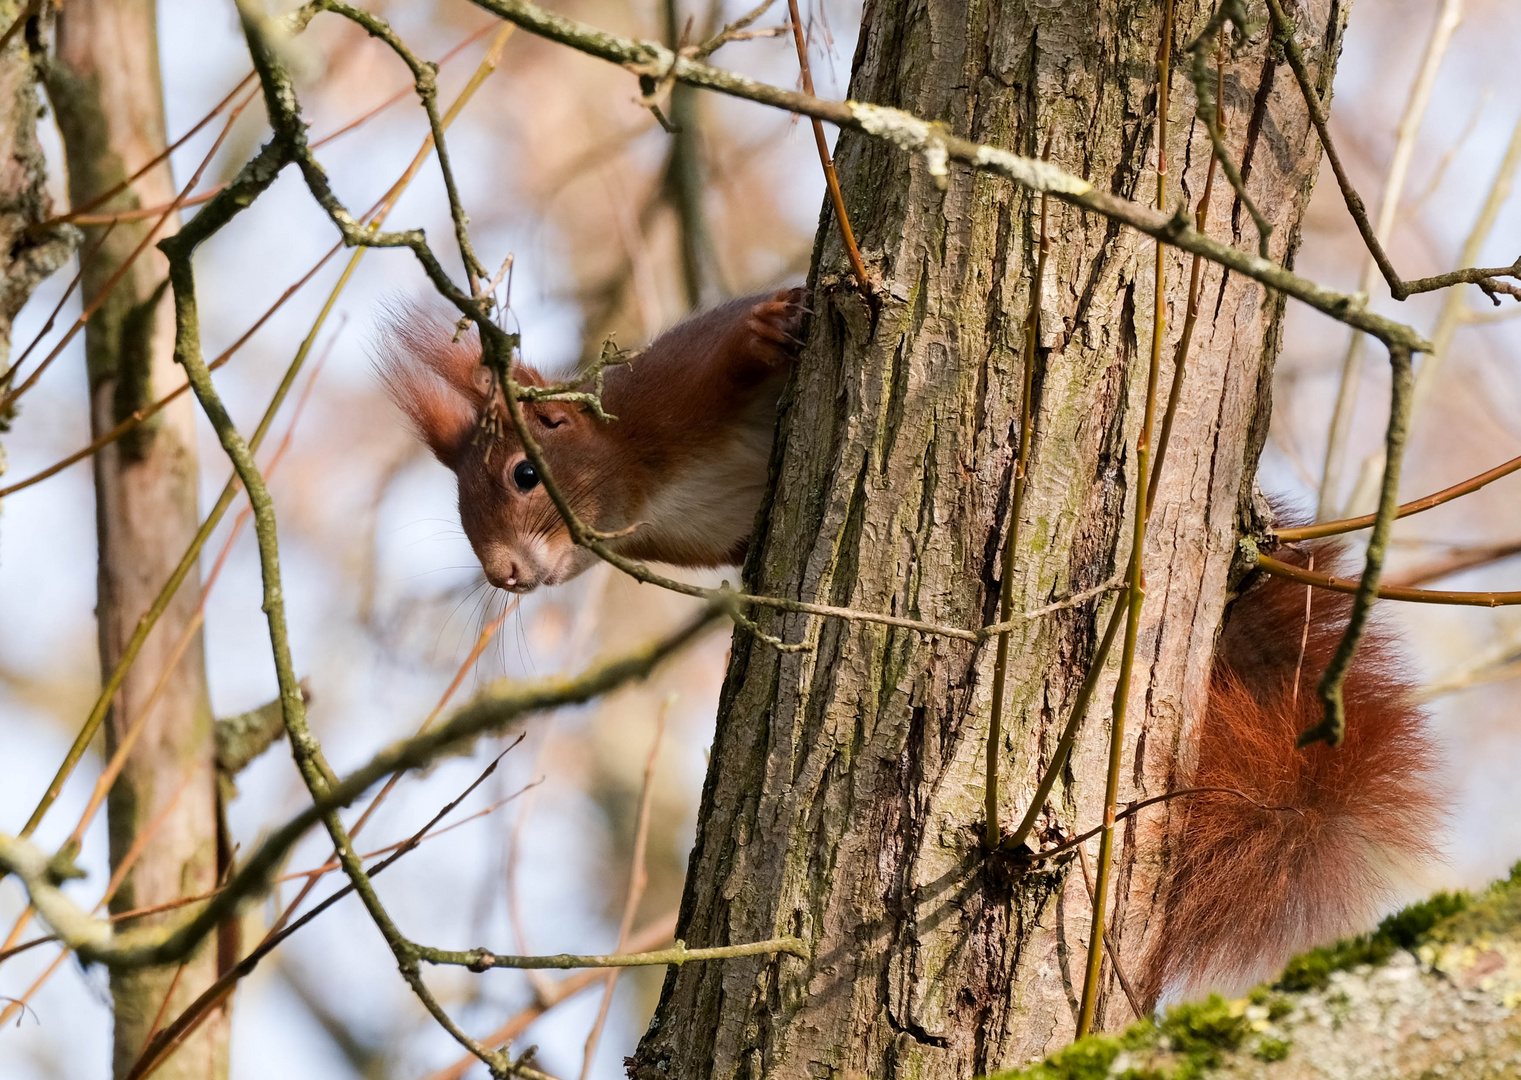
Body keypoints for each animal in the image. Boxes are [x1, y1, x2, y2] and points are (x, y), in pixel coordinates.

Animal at [377, 292, 1435, 1010]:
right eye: (463, 512)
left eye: (524, 473)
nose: (505, 575)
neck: (642, 481)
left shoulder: (672, 391)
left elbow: (731, 351)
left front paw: (772, 325)